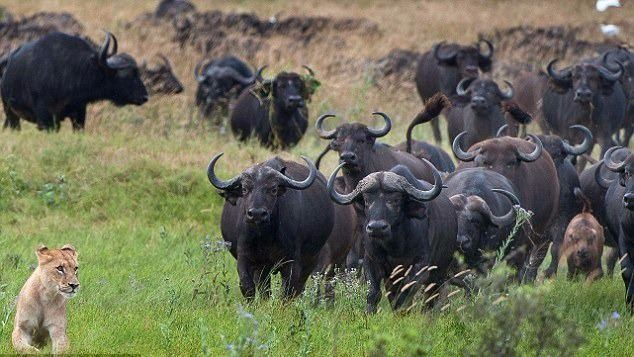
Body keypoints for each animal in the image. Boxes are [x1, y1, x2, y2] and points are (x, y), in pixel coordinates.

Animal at [326, 161, 454, 312]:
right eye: (367, 200)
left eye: (395, 199)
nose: (376, 227)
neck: (395, 246)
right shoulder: (371, 262)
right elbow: (373, 293)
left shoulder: (421, 266)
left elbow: (406, 293)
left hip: (439, 272)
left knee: (432, 296)